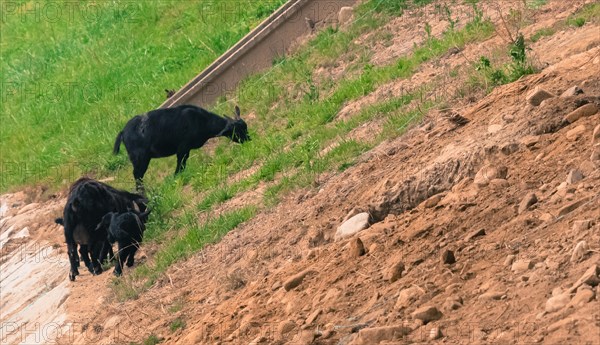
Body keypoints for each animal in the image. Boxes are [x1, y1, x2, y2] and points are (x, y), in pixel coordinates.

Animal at [113, 105, 250, 191]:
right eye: (238, 131)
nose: (249, 140)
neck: (201, 120)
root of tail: (123, 132)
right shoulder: (183, 147)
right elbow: (181, 164)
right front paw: (176, 177)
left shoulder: (185, 149)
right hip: (140, 158)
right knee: (137, 174)